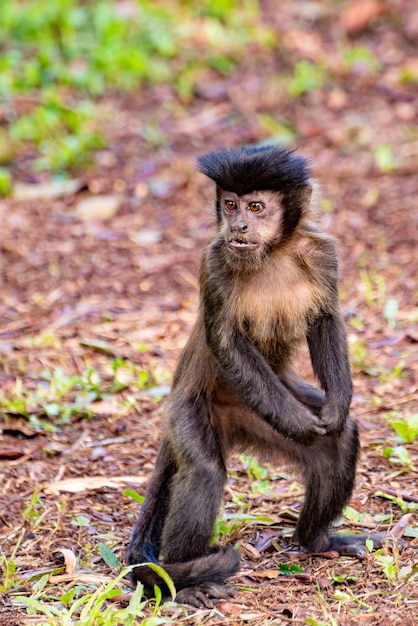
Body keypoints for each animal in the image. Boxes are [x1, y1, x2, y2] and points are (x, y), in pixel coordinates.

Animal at [129, 145, 394, 604]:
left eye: (255, 206)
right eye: (230, 204)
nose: (238, 226)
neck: (273, 252)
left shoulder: (322, 252)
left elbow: (326, 319)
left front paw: (337, 407)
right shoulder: (214, 260)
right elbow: (227, 342)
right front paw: (300, 424)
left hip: (256, 410)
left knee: (340, 442)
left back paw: (317, 541)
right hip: (195, 409)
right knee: (204, 471)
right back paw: (183, 577)